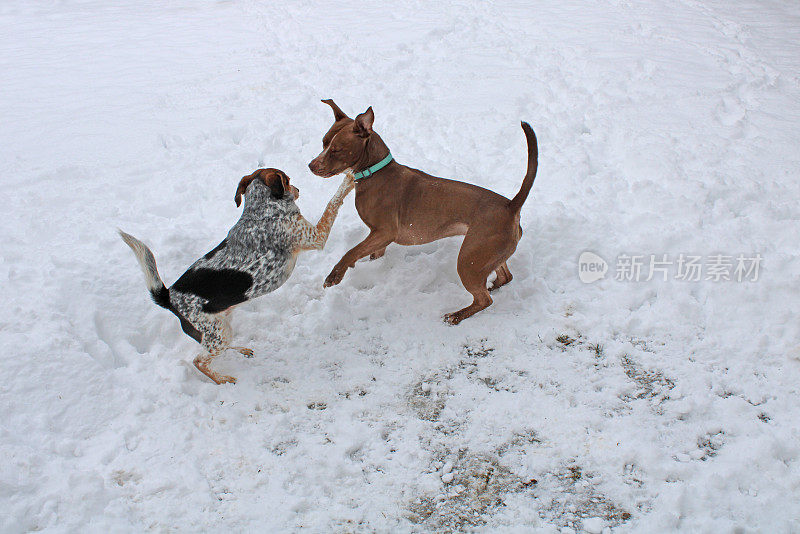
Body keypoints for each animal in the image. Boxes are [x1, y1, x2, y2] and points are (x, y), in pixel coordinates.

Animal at [121, 170, 354, 384]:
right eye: (287, 180)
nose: (298, 190)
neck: (260, 210)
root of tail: (168, 297)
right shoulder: (315, 236)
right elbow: (333, 202)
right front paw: (349, 179)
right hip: (218, 332)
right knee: (199, 361)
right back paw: (222, 379)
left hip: (222, 325)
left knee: (212, 347)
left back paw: (241, 350)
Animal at [306, 100, 536, 326]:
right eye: (323, 143)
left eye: (336, 149)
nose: (311, 165)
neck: (375, 171)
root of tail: (511, 206)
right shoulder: (378, 239)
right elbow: (368, 254)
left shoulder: (384, 232)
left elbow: (351, 251)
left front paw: (335, 276)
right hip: (489, 255)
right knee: (505, 276)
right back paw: (493, 285)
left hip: (469, 260)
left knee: (484, 300)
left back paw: (456, 316)